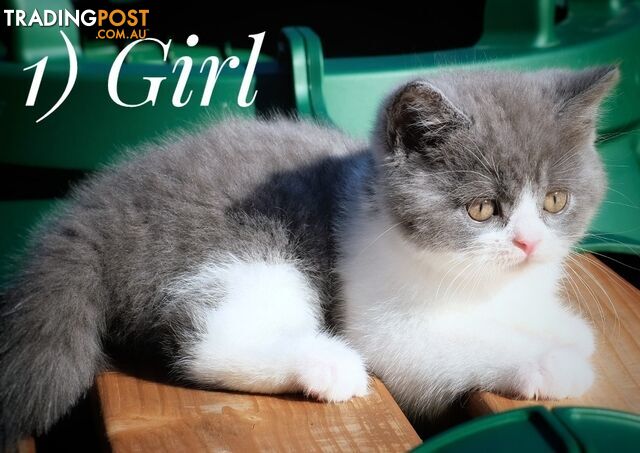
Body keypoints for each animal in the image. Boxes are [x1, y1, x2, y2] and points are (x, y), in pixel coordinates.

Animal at [1, 66, 620, 444]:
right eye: (482, 210)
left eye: (555, 201)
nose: (529, 242)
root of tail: (88, 211)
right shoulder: (389, 331)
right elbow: (459, 344)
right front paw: (551, 362)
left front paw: (562, 327)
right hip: (251, 251)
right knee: (207, 343)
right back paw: (327, 365)